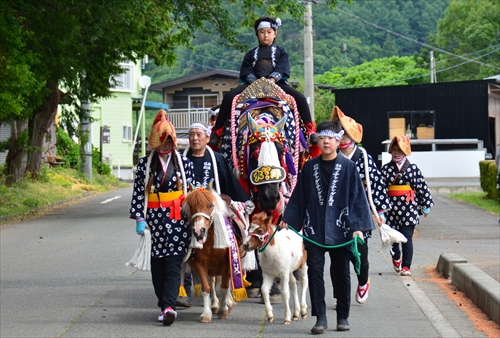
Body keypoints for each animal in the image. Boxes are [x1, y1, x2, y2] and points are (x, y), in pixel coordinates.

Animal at [182, 186, 250, 324]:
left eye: (210, 205)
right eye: (191, 206)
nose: (199, 231)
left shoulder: (227, 263)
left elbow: (224, 287)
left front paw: (223, 310)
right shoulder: (200, 264)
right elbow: (206, 287)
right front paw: (206, 313)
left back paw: (228, 303)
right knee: (212, 282)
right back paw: (214, 305)